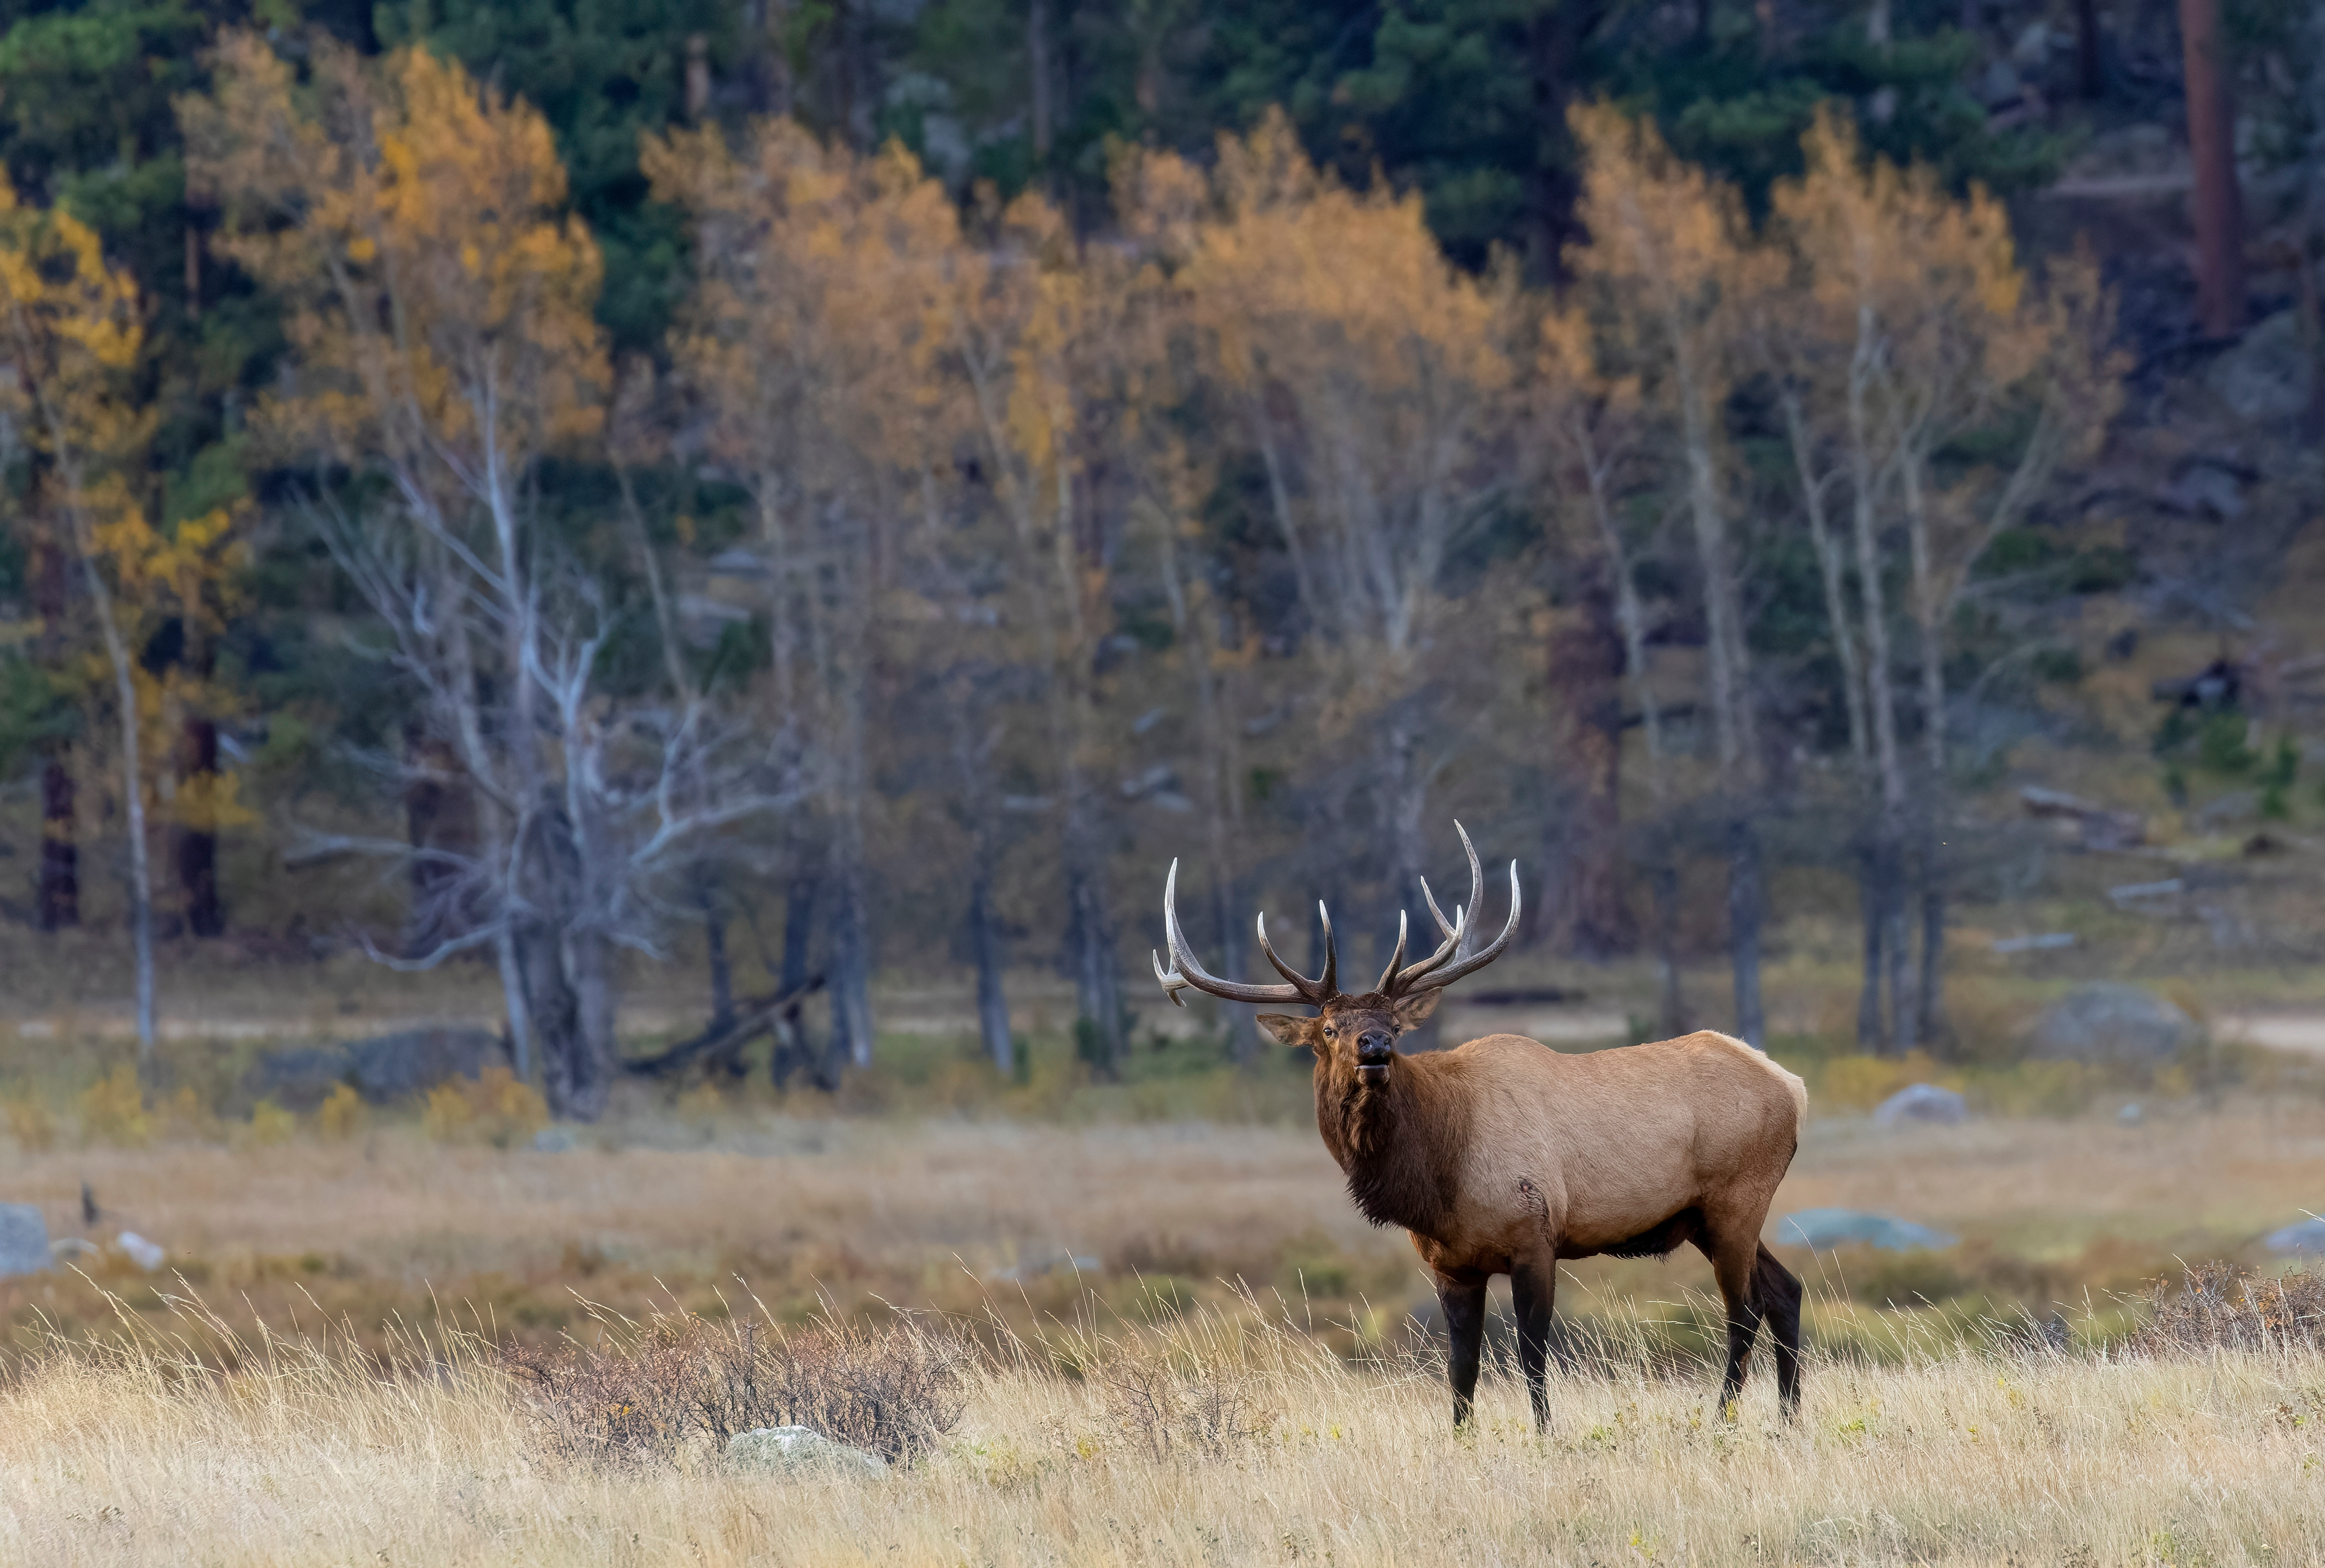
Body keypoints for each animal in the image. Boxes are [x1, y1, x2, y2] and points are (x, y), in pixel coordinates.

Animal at [1153, 823, 1808, 1430]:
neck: (1440, 1172)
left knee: (1744, 1309)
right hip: (1707, 1216)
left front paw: (1545, 1436)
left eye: (1394, 1022)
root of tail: (1793, 1086)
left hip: (1736, 1198)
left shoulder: (1535, 1235)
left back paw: (1722, 1419)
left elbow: (1531, 1354)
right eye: (1329, 1030)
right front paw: (1462, 1439)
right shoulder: (1449, 1264)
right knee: (1786, 1289)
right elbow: (1461, 1366)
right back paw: (1788, 1418)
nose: (1375, 1047)